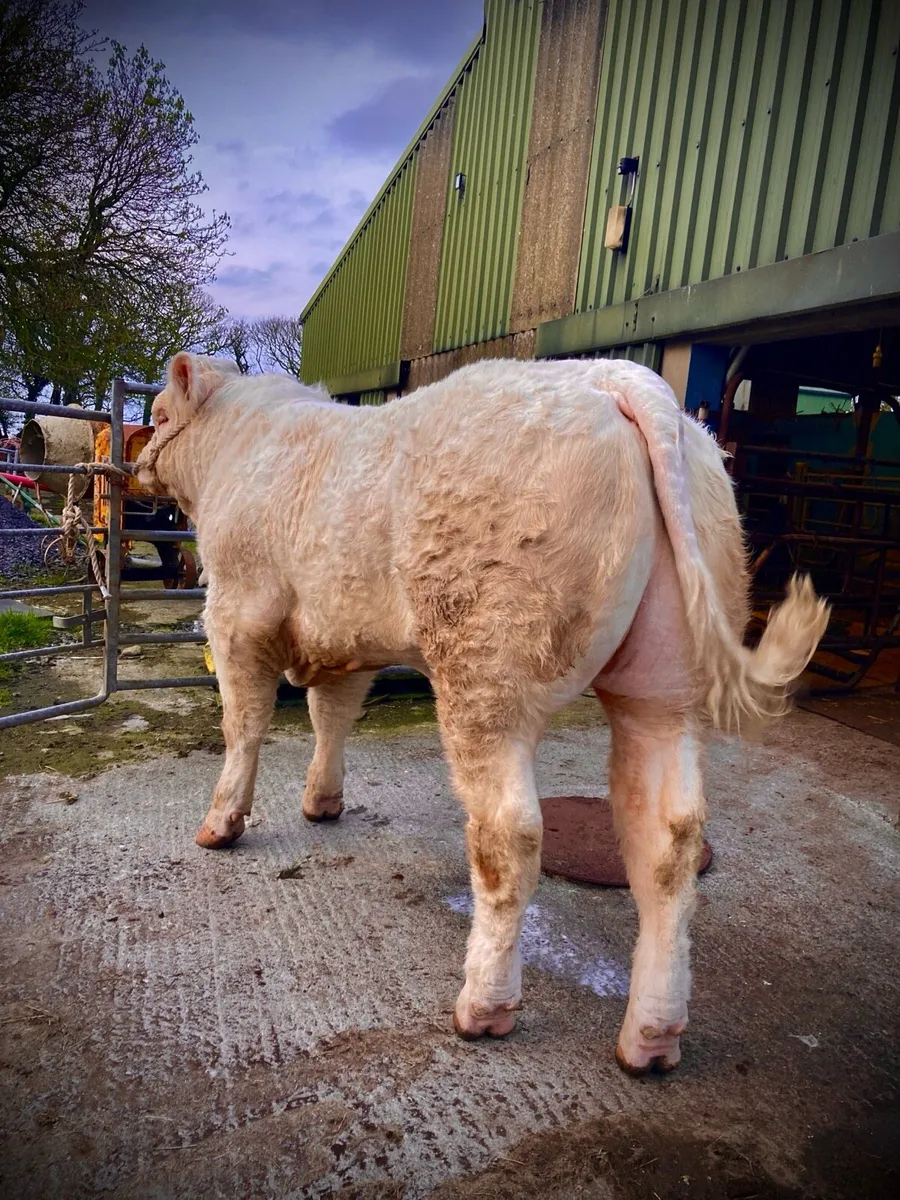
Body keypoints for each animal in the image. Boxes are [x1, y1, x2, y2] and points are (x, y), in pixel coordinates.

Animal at [135, 352, 827, 1074]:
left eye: (156, 413)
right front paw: (321, 802)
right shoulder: (346, 636)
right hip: (665, 683)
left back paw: (485, 1006)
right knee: (669, 843)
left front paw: (221, 823)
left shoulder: (237, 614)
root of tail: (617, 378)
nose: (135, 462)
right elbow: (333, 717)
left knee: (510, 836)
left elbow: (244, 726)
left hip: (487, 670)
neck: (240, 443)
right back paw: (651, 1036)